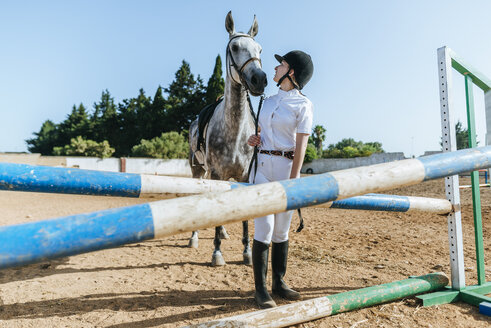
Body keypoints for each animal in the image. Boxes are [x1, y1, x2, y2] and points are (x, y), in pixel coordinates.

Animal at [188, 11, 268, 266]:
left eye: (259, 49)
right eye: (234, 47)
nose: (259, 79)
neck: (234, 131)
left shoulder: (243, 176)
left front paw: (247, 252)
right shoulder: (214, 173)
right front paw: (217, 253)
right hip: (198, 171)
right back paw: (194, 238)